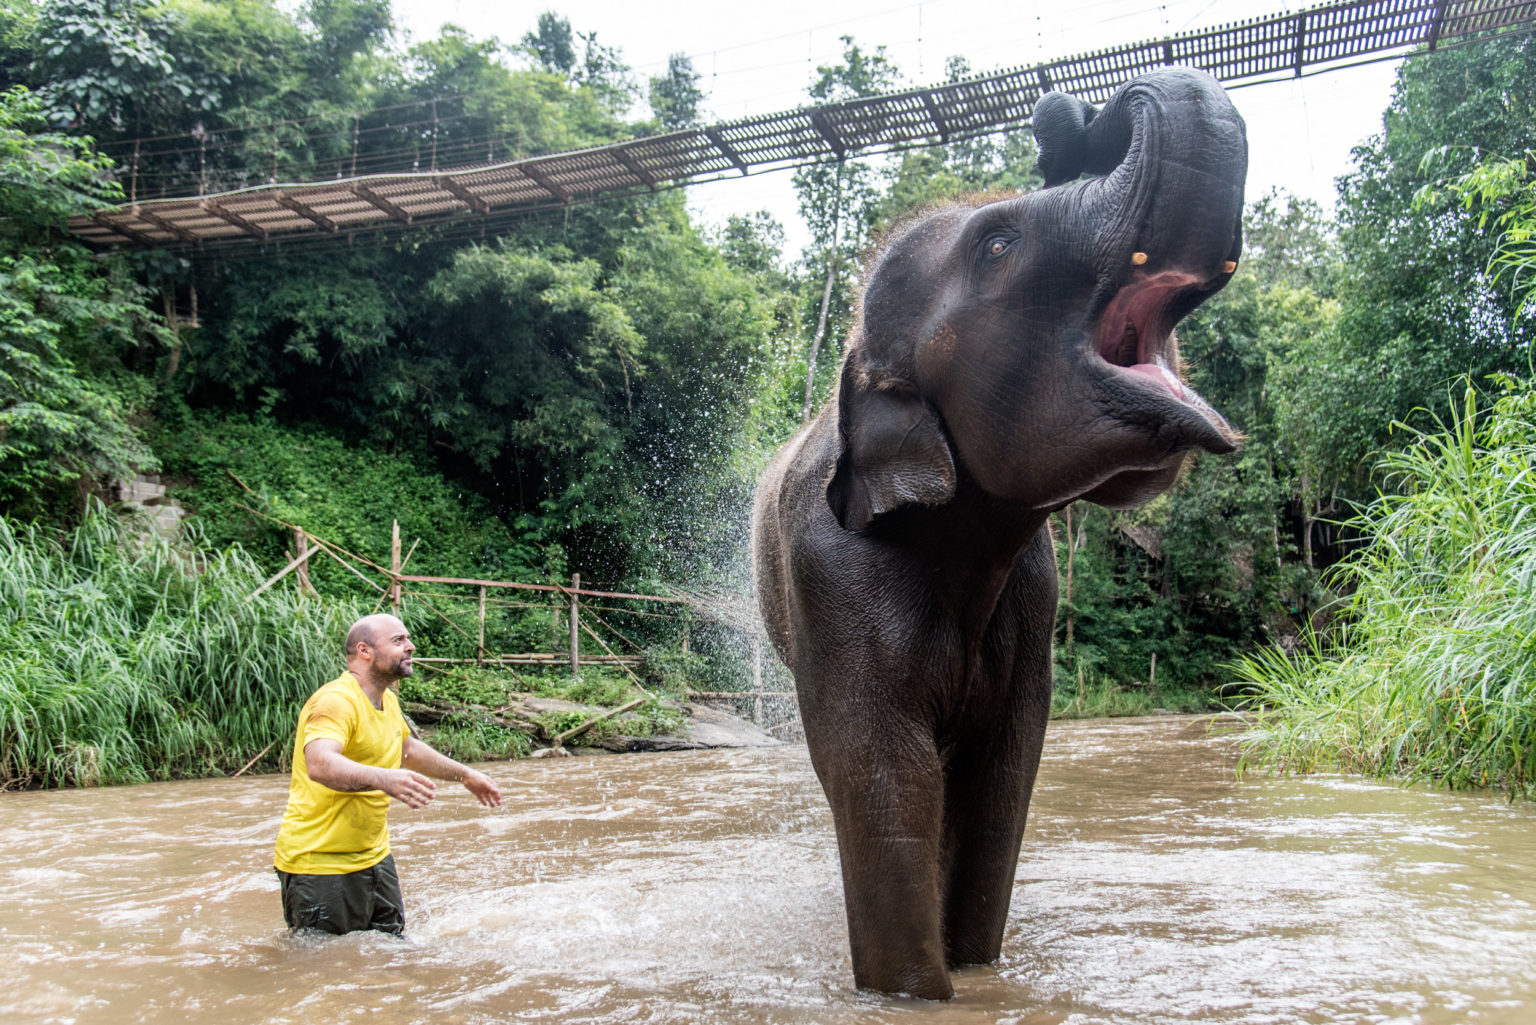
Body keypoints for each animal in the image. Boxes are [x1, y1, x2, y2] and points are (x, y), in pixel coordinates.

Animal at [752, 68, 1247, 995]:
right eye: (998, 244)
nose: (1070, 119)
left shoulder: (1034, 591)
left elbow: (1001, 777)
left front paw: (978, 971)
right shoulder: (829, 574)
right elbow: (886, 777)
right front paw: (916, 995)